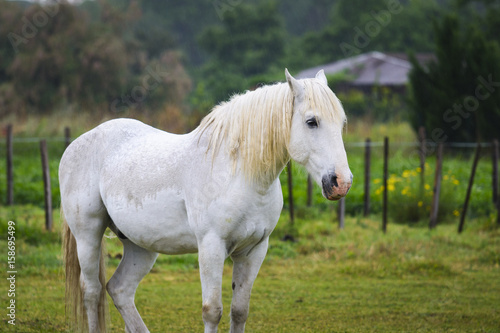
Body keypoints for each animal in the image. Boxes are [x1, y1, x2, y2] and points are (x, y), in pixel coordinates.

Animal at [59, 68, 352, 330]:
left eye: (341, 123)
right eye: (311, 121)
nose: (342, 182)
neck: (240, 174)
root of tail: (77, 143)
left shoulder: (254, 250)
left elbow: (239, 311)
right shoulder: (211, 246)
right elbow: (212, 311)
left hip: (140, 245)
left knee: (120, 290)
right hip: (88, 236)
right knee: (92, 291)